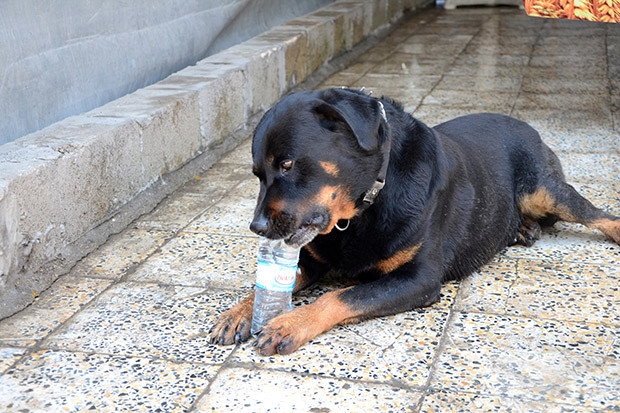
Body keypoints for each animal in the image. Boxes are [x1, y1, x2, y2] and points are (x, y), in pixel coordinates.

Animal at [209, 86, 620, 354]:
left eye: (288, 164)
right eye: (257, 174)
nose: (257, 228)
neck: (364, 206)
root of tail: (527, 125)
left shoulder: (418, 280)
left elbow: (343, 295)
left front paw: (289, 323)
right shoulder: (312, 260)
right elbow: (275, 283)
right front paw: (241, 311)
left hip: (545, 188)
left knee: (592, 212)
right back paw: (521, 228)